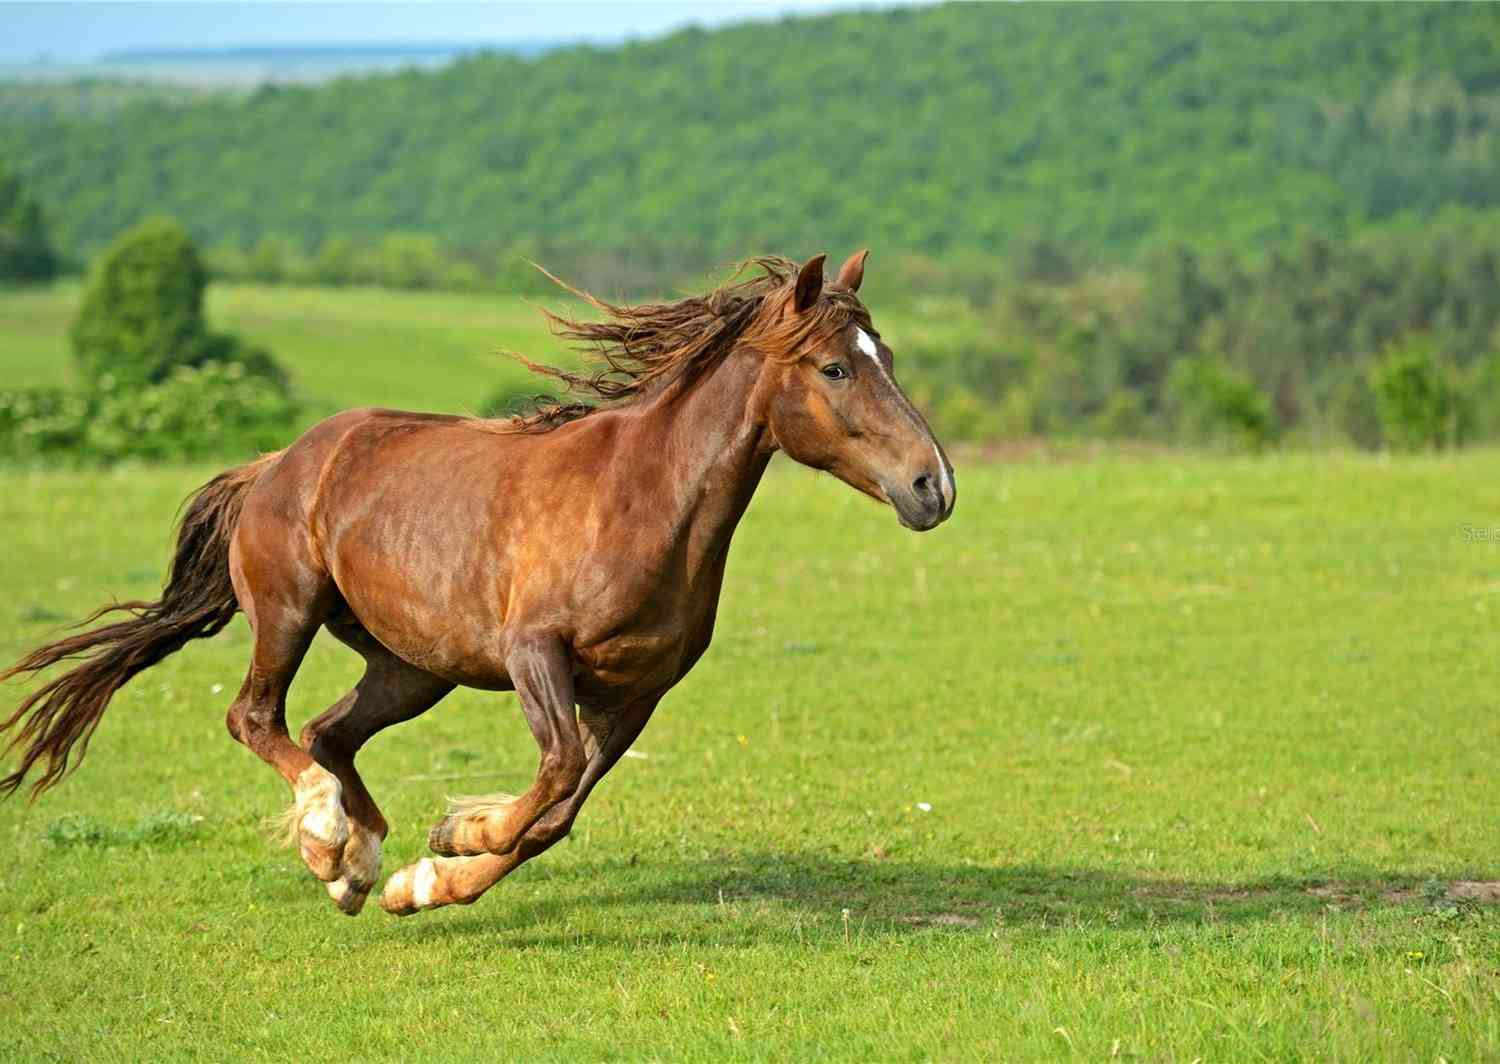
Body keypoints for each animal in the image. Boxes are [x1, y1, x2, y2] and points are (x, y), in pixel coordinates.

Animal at [0, 253, 954, 918]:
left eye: (885, 354)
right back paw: (326, 840)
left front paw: (427, 879)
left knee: (326, 732)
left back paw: (358, 869)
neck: (646, 499)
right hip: (290, 610)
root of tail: (277, 462)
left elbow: (557, 815)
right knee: (258, 718)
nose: (933, 487)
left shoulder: (636, 694)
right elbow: (553, 776)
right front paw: (460, 831)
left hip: (414, 667)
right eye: (835, 368)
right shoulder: (535, 651)